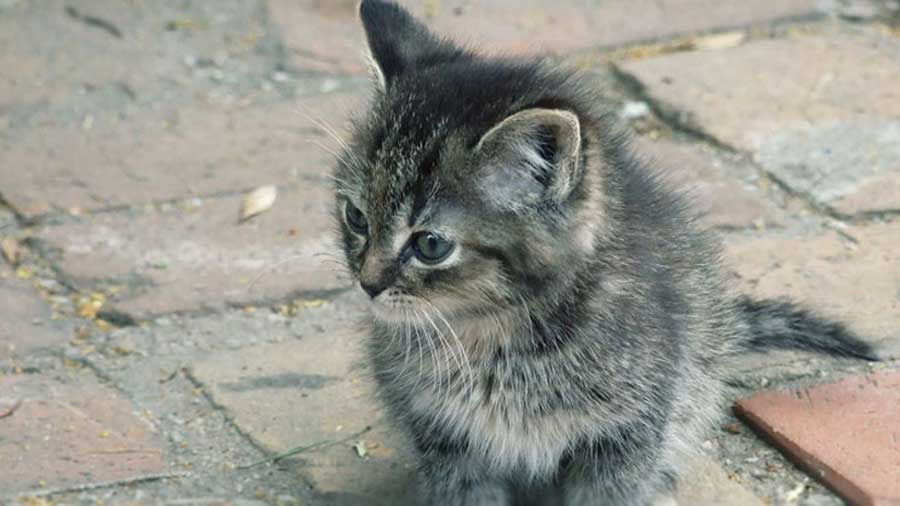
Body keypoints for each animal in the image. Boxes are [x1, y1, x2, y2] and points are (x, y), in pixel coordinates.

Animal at [332, 1, 880, 504]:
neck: (494, 336)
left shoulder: (626, 435)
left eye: (430, 245)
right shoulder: (443, 441)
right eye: (356, 217)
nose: (368, 283)